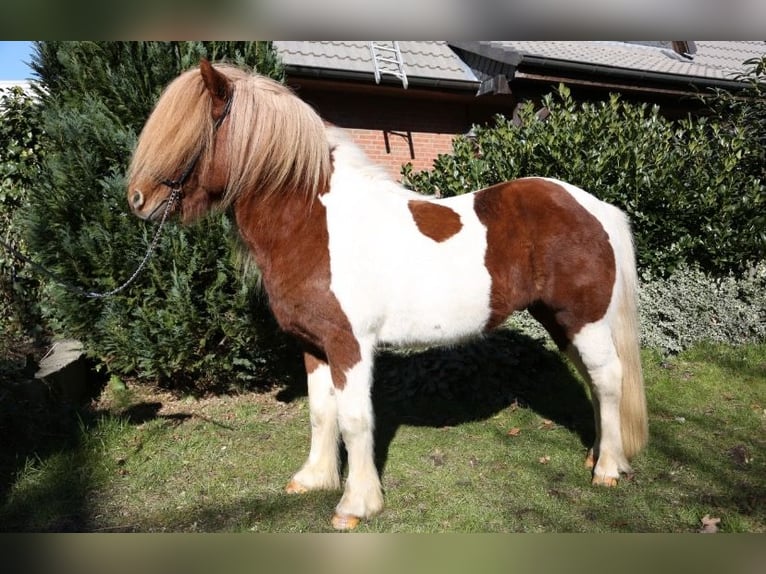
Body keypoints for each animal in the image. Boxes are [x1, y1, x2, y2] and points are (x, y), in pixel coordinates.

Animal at [129, 60, 652, 532]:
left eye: (192, 132)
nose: (137, 200)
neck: (315, 225)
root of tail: (594, 207)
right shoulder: (314, 346)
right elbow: (320, 413)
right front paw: (314, 479)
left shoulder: (350, 346)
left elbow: (354, 419)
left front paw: (356, 504)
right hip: (562, 321)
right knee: (595, 379)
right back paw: (599, 456)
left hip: (583, 319)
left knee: (608, 379)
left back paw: (607, 469)